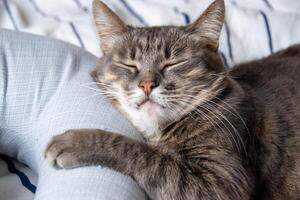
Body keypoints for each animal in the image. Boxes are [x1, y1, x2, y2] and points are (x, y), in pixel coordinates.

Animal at [44, 0, 300, 199]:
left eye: (173, 63)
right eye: (129, 65)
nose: (147, 85)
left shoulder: (222, 182)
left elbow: (143, 153)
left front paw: (75, 142)